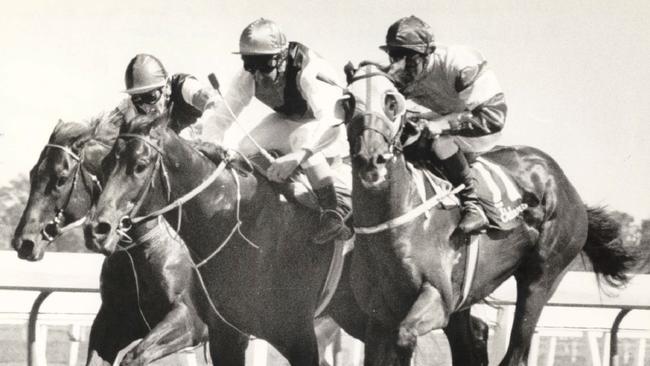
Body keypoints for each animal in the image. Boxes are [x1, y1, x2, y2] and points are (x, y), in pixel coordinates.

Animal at [10, 117, 213, 366]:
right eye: (32, 174)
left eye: (61, 179)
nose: (24, 242)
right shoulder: (115, 320)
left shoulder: (191, 319)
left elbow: (135, 356)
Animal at [82, 112, 492, 366]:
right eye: (104, 165)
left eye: (139, 166)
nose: (97, 229)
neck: (240, 227)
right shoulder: (224, 334)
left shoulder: (290, 334)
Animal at [342, 63, 636, 366]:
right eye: (348, 101)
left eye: (392, 102)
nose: (371, 159)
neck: (398, 218)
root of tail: (565, 184)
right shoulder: (378, 317)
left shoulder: (437, 298)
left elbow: (406, 334)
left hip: (542, 276)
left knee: (516, 350)